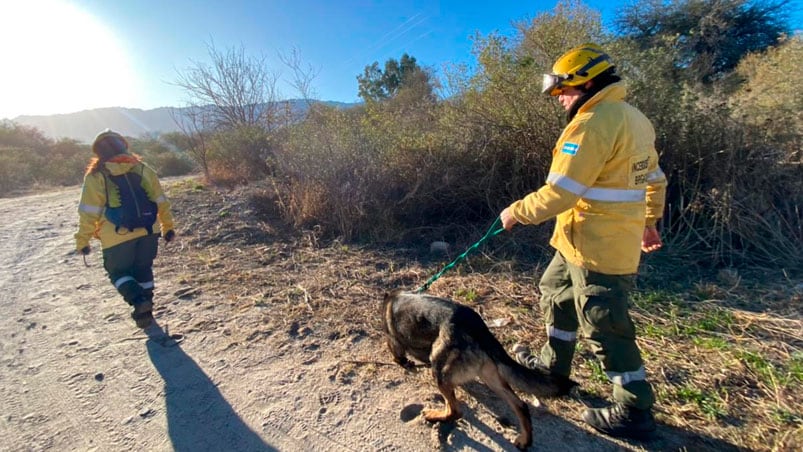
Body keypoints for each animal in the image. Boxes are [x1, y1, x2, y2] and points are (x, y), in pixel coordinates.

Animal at [380, 292, 576, 450]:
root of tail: (478, 328)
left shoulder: (393, 341)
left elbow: (397, 353)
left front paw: (403, 362)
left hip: (439, 370)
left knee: (455, 411)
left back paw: (436, 415)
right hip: (491, 377)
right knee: (520, 405)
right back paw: (524, 440)